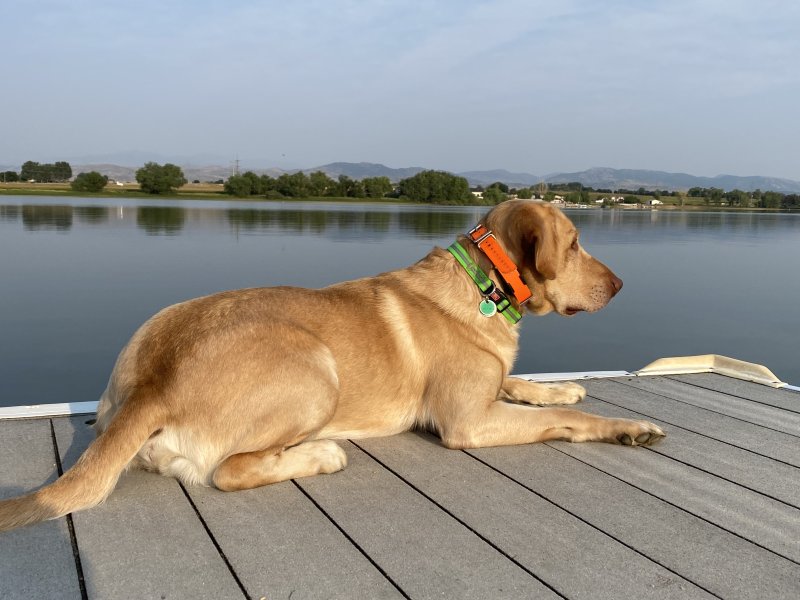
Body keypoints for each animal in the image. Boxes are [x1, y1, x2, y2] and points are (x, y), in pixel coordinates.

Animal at [0, 200, 664, 528]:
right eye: (574, 243)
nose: (622, 285)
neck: (486, 283)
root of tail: (150, 385)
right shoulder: (468, 423)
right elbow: (568, 424)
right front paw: (626, 427)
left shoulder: (492, 391)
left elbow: (526, 386)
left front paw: (564, 389)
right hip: (315, 370)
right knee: (230, 471)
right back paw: (320, 454)